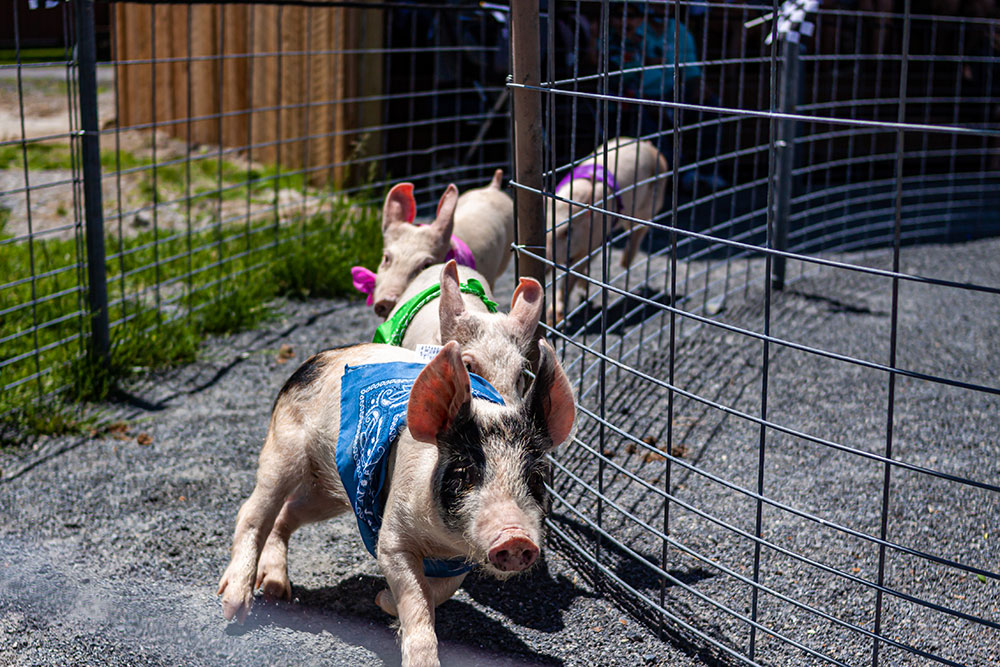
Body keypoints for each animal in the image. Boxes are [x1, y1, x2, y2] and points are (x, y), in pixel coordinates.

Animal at [219, 342, 580, 664]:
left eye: (535, 478)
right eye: (465, 472)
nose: (515, 538)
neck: (442, 542)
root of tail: (315, 359)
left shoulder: (460, 561)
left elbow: (442, 590)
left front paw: (382, 600)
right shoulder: (392, 538)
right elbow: (416, 599)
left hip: (329, 491)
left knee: (287, 513)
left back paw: (277, 589)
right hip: (284, 448)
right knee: (253, 511)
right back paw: (235, 607)